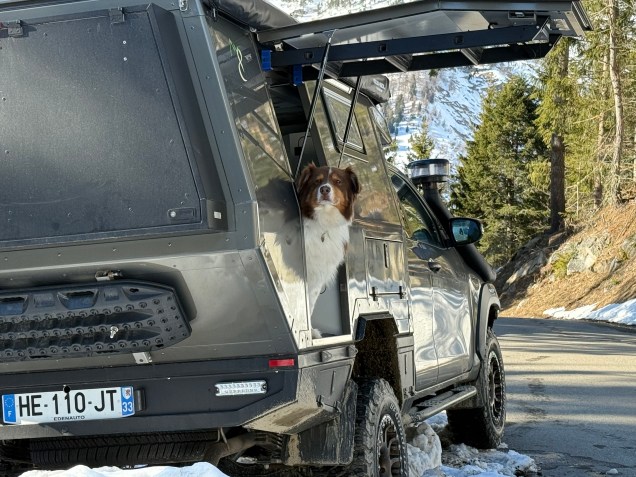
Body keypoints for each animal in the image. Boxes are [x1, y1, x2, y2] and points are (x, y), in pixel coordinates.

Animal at [295, 164, 360, 335]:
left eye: (338, 181)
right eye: (317, 181)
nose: (324, 189)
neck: (324, 222)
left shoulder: (319, 273)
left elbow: (309, 304)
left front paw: (311, 332)